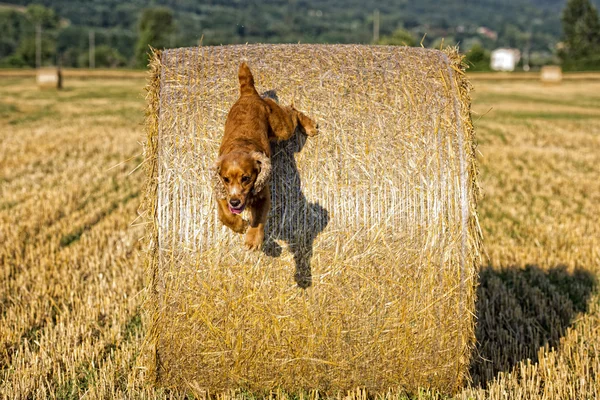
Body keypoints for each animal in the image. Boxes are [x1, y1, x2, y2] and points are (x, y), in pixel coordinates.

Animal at [212, 62, 318, 250]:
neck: (240, 146)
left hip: (282, 127)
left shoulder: (263, 195)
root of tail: (249, 93)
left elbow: (259, 218)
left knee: (292, 111)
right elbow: (224, 215)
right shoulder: (222, 192)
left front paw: (253, 239)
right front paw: (239, 225)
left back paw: (309, 125)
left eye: (246, 178)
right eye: (225, 179)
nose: (235, 202)